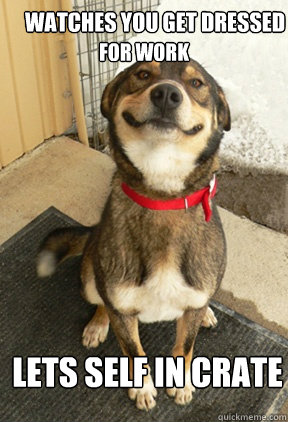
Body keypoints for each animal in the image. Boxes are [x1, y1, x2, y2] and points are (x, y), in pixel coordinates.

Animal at [37, 59, 231, 408]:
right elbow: (133, 350)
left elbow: (185, 346)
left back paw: (208, 311)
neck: (162, 197)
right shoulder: (121, 307)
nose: (166, 94)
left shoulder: (192, 304)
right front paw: (141, 388)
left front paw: (181, 383)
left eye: (196, 83)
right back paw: (97, 325)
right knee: (101, 302)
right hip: (90, 279)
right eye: (142, 75)